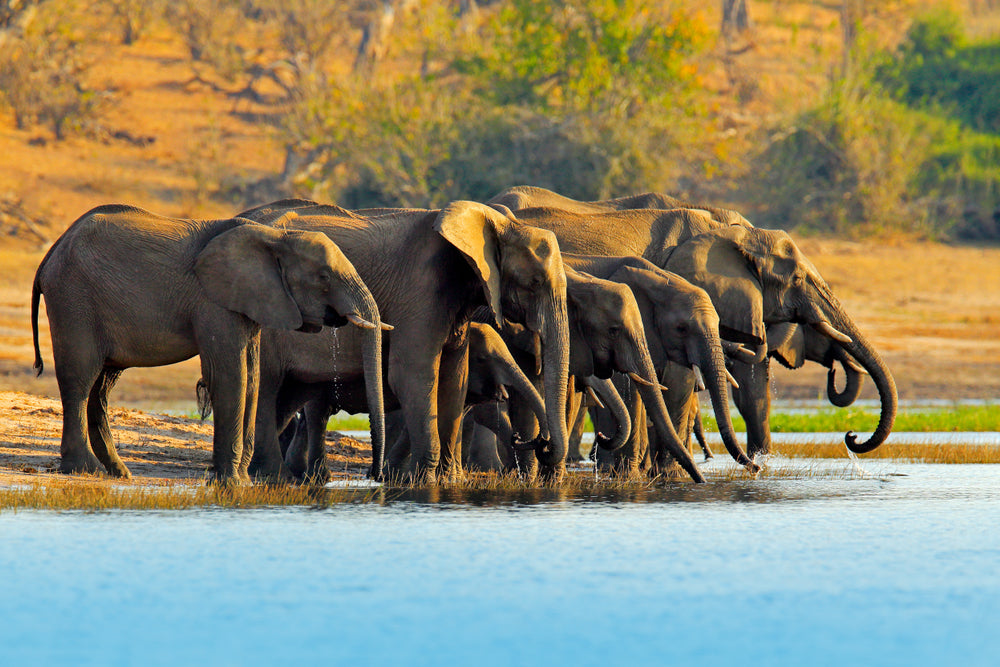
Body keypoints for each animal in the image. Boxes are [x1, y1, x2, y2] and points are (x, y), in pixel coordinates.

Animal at [29, 205, 384, 486]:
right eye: (323, 277)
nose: (375, 476)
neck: (276, 237)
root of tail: (50, 253)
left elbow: (251, 379)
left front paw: (240, 481)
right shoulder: (214, 302)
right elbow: (230, 376)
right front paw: (231, 483)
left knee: (101, 387)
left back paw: (119, 473)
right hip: (73, 300)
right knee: (80, 377)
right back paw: (85, 471)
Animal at [235, 196, 576, 482]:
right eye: (535, 281)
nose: (539, 442)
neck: (498, 223)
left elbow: (454, 379)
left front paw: (448, 481)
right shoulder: (420, 292)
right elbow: (414, 376)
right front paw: (423, 482)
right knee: (268, 390)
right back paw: (274, 477)